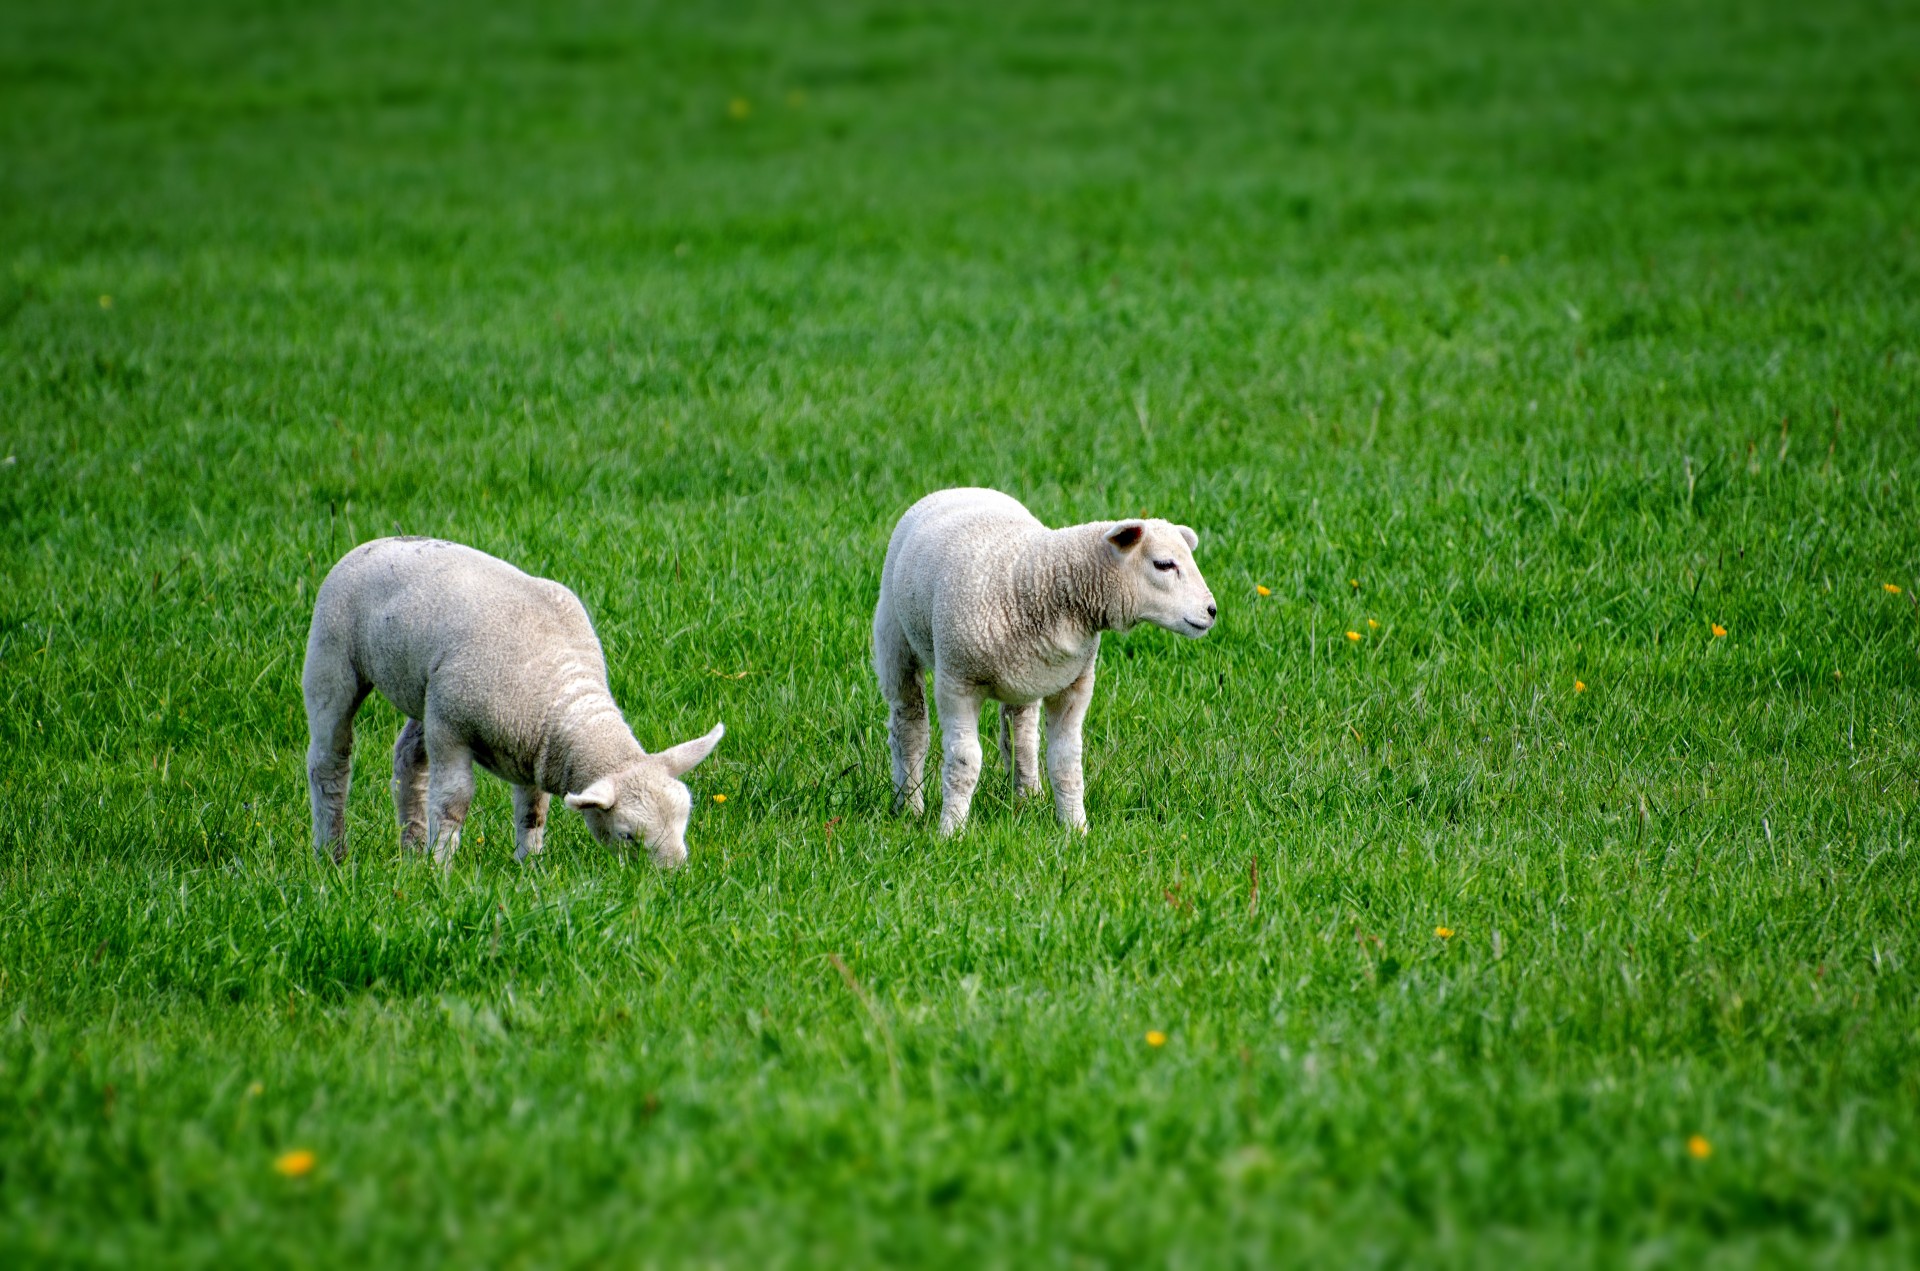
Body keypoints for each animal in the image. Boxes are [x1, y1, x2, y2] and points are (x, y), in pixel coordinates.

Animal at [303, 533, 721, 871]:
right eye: (628, 835)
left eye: (684, 820)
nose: (674, 880)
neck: (562, 689)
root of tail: (379, 542)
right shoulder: (451, 730)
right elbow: (453, 802)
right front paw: (440, 870)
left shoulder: (537, 749)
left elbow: (533, 811)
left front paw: (529, 868)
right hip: (331, 657)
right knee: (329, 763)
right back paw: (333, 854)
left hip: (428, 692)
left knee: (407, 760)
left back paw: (412, 850)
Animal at [871, 487, 1213, 837]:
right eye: (1164, 564)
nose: (1212, 611)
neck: (1040, 578)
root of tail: (959, 488)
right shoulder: (957, 682)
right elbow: (965, 762)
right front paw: (951, 832)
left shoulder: (1075, 685)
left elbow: (1066, 762)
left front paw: (1077, 831)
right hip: (894, 639)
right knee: (909, 726)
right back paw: (909, 804)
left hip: (1025, 680)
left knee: (1021, 737)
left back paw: (1027, 798)